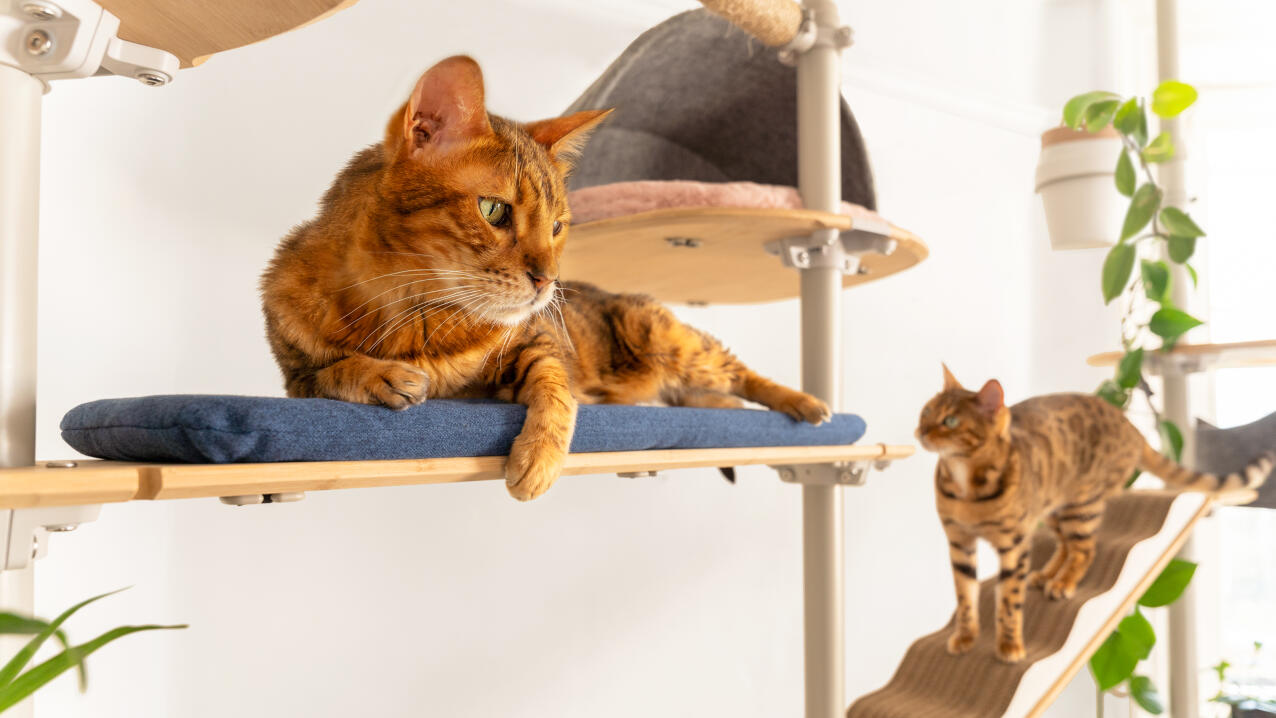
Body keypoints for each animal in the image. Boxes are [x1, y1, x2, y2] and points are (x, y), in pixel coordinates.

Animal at [264, 56, 831, 502]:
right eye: (493, 210)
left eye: (558, 226)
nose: (549, 281)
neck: (412, 314)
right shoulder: (295, 378)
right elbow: (331, 372)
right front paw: (381, 375)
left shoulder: (535, 341)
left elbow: (555, 387)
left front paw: (538, 457)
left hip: (670, 339)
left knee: (739, 372)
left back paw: (805, 404)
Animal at [923, 367, 1270, 668]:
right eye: (925, 413)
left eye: (950, 420)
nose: (921, 431)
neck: (966, 487)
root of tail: (1131, 427)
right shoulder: (959, 542)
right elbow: (965, 595)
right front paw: (965, 637)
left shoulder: (1014, 544)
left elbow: (1009, 599)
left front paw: (1009, 645)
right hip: (1055, 507)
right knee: (1066, 545)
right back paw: (1048, 575)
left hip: (1081, 505)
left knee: (1084, 549)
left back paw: (1063, 583)